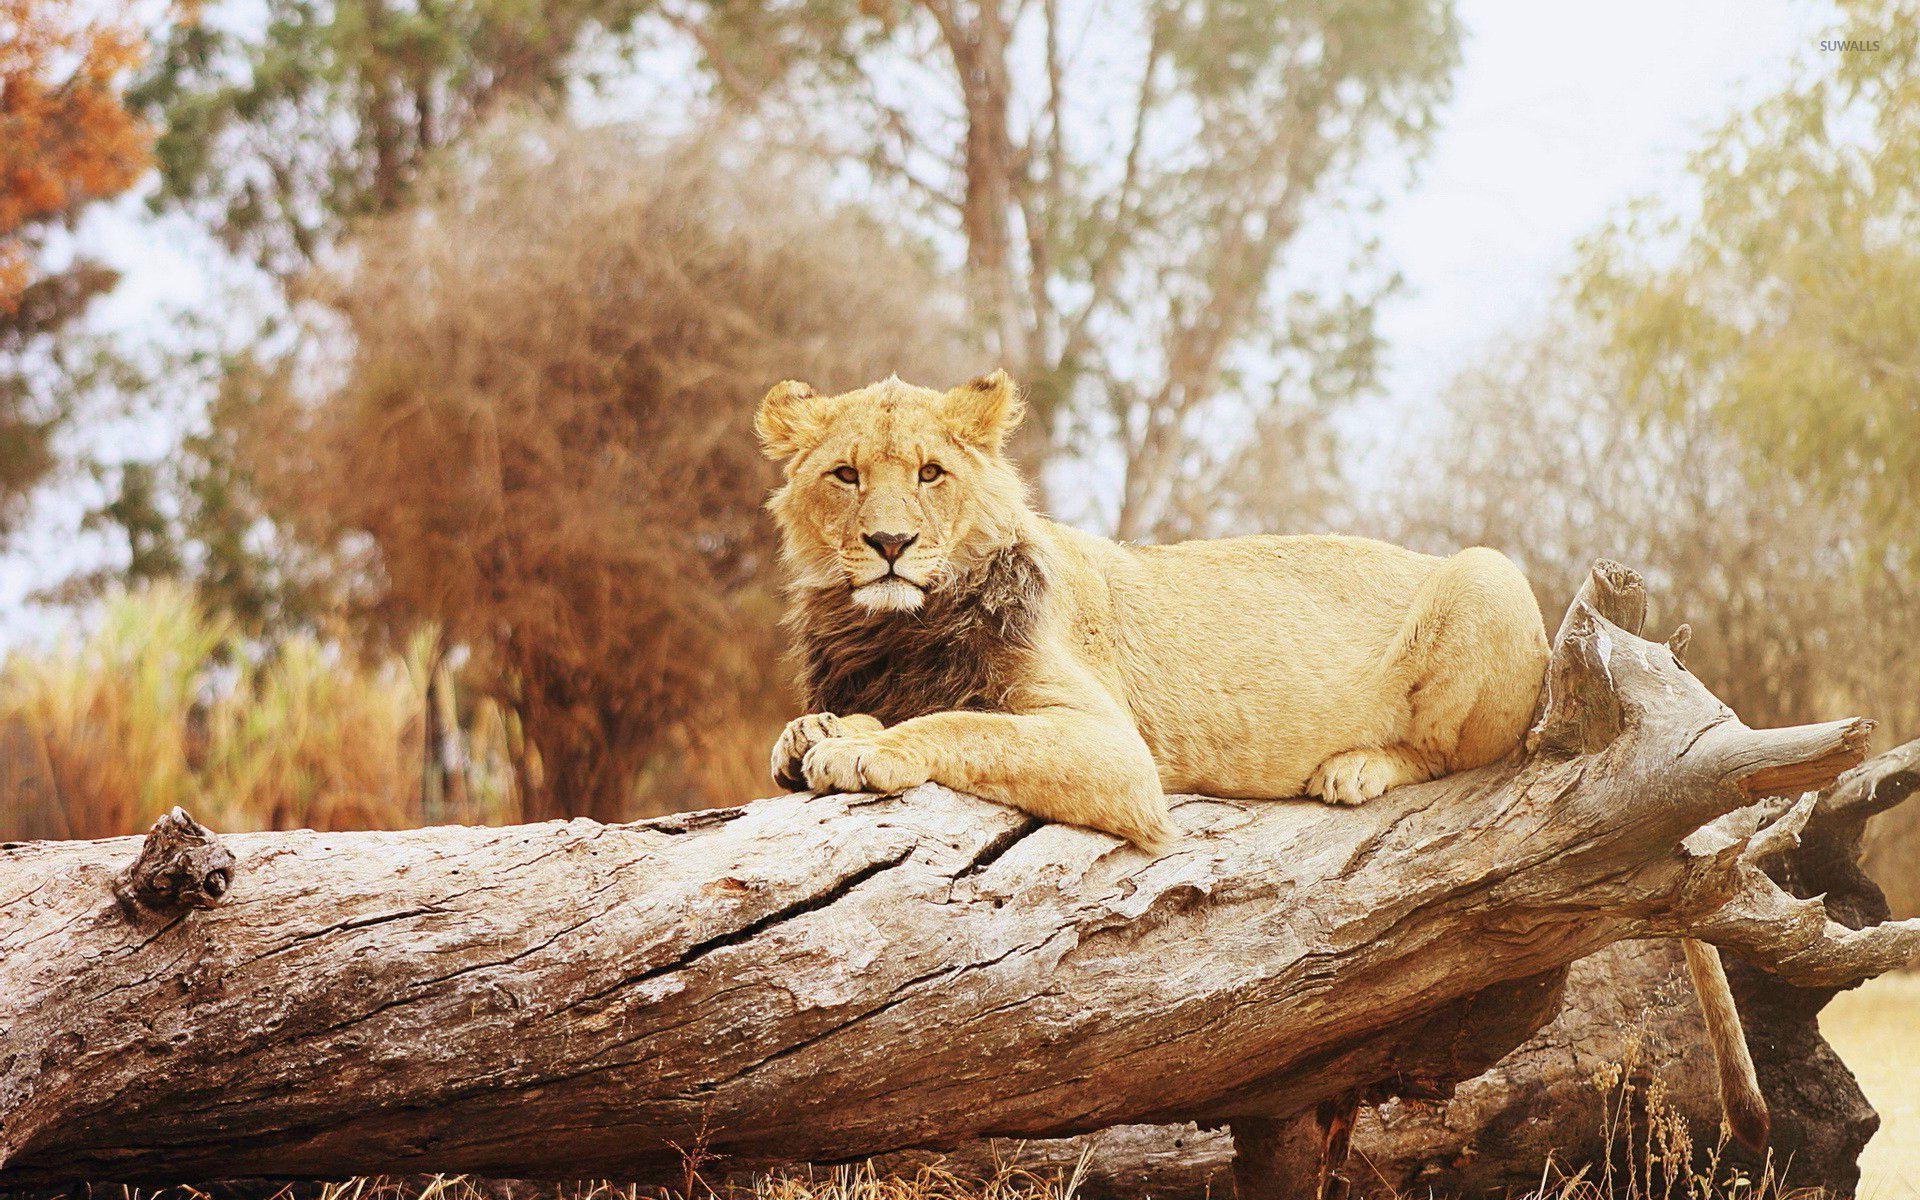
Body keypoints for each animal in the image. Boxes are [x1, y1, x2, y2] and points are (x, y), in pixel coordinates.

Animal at [756, 368, 1768, 1149]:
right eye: (846, 475)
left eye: (931, 473)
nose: (890, 545)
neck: (893, 631)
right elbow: (854, 719)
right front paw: (811, 735)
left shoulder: (1113, 750)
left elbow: (962, 725)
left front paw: (862, 753)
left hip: (1484, 574)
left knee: (1465, 760)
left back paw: (1354, 769)